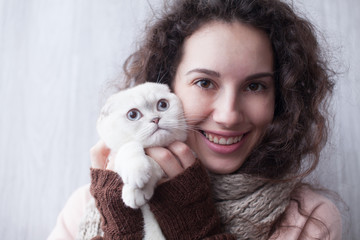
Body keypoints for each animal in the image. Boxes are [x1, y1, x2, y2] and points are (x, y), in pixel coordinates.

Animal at [97, 82, 187, 238]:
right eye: (133, 115)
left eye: (162, 105)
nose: (156, 119)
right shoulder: (117, 152)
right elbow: (130, 146)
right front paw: (136, 175)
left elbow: (153, 163)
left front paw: (136, 189)